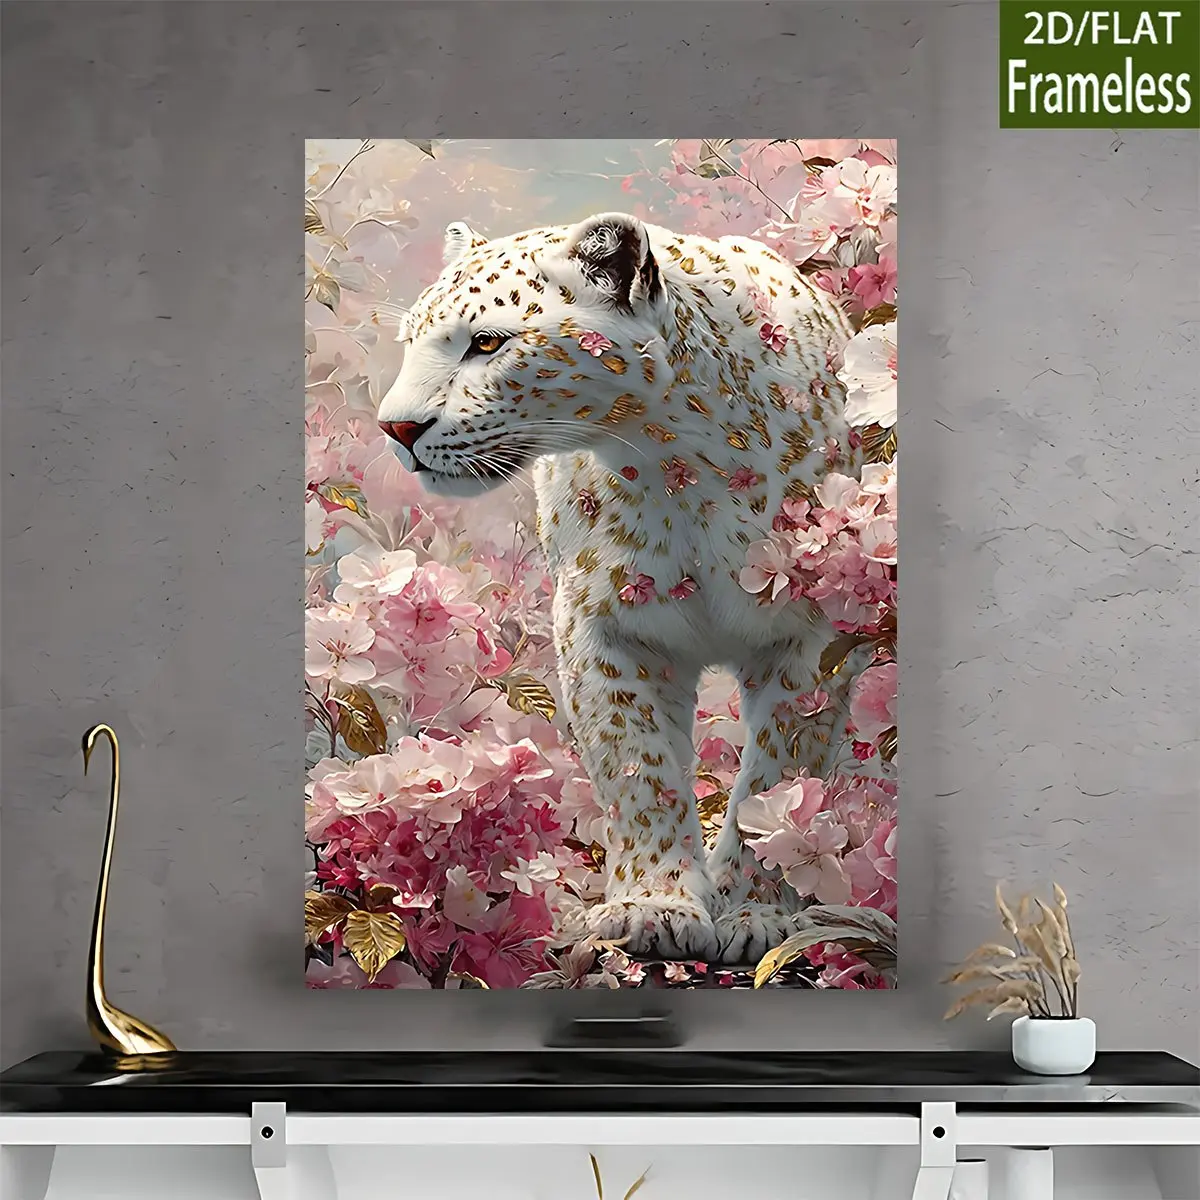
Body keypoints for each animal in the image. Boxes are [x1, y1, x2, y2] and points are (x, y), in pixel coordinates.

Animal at [376, 211, 865, 966]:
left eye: (487, 342)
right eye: (409, 343)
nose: (396, 428)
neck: (678, 465)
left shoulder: (811, 632)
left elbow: (781, 775)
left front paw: (755, 913)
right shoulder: (604, 626)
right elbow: (637, 766)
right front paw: (654, 907)